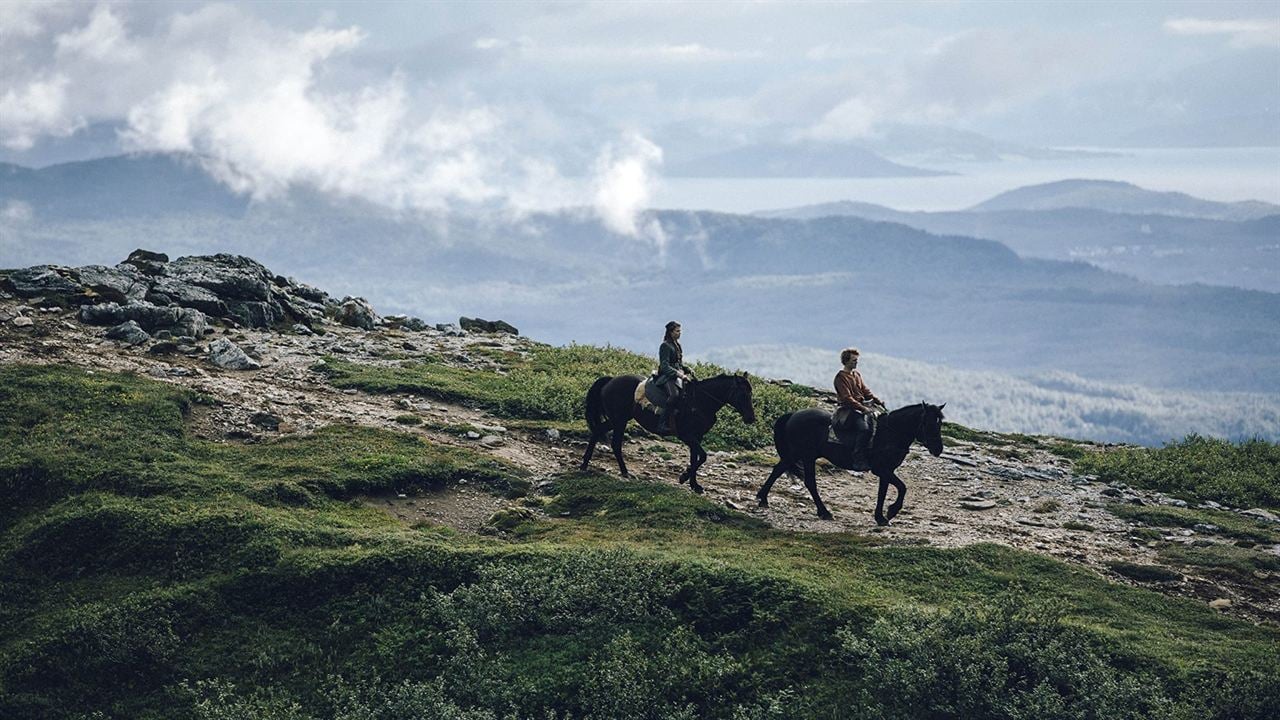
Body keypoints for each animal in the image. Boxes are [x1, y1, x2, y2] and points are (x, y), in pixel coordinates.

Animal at [583, 368, 752, 491]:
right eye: (744, 394)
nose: (751, 418)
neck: (700, 401)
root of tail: (611, 380)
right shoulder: (687, 436)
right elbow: (703, 457)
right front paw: (684, 477)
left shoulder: (697, 437)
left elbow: (695, 458)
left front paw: (694, 485)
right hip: (619, 420)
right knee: (615, 443)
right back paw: (624, 472)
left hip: (618, 419)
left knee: (598, 431)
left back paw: (585, 464)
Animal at [752, 399, 947, 525]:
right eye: (928, 423)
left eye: (940, 424)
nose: (938, 449)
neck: (890, 433)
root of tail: (792, 415)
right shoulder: (882, 469)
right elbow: (902, 487)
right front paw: (890, 512)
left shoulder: (887, 471)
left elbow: (883, 492)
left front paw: (881, 517)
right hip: (804, 455)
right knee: (808, 482)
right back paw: (824, 512)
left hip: (798, 455)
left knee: (778, 469)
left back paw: (763, 499)